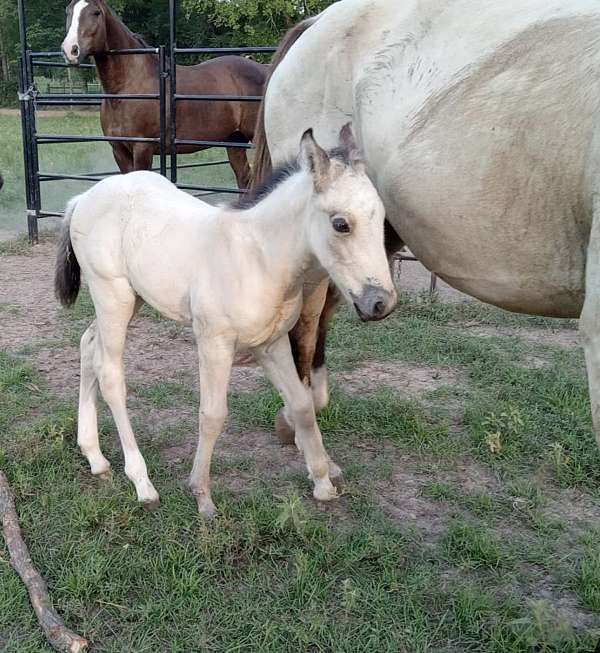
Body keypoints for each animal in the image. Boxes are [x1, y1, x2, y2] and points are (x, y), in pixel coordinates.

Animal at [54, 126, 396, 515]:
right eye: (341, 224)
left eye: (381, 218)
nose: (381, 303)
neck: (258, 259)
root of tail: (84, 196)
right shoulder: (214, 344)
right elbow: (213, 415)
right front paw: (201, 494)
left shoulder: (271, 344)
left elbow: (301, 405)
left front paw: (322, 481)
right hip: (113, 296)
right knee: (111, 373)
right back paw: (141, 482)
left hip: (131, 299)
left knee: (87, 344)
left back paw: (94, 456)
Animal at [61, 0, 268, 188]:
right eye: (68, 11)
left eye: (96, 12)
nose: (70, 50)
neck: (128, 86)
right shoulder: (119, 150)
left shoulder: (142, 148)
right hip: (235, 141)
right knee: (244, 179)